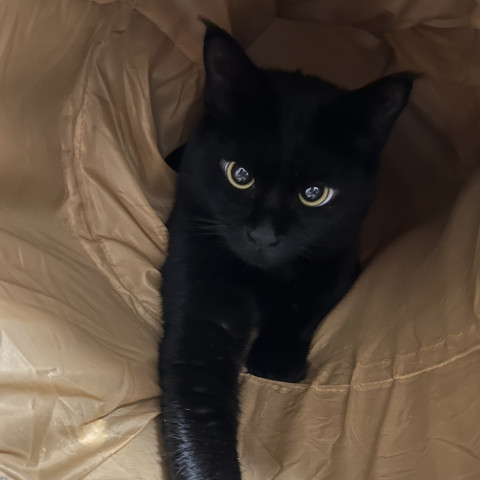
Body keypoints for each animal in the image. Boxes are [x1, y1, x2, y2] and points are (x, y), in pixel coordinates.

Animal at [159, 22, 414, 480]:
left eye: (314, 194)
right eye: (239, 174)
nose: (262, 234)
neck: (266, 277)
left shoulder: (340, 259)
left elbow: (308, 303)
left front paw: (274, 361)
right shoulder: (195, 273)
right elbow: (196, 408)